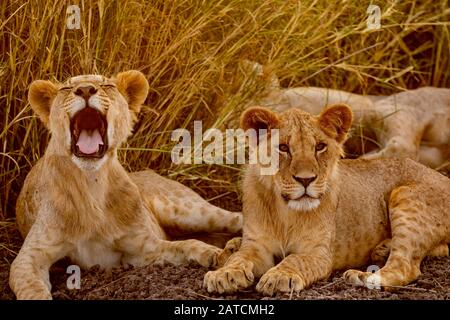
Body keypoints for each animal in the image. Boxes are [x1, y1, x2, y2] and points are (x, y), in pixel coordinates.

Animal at [9, 70, 243, 300]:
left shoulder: (143, 246)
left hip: (186, 210)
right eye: (66, 88)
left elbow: (187, 245)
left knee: (237, 218)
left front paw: (217, 255)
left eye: (107, 86)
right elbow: (32, 288)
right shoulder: (30, 256)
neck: (92, 184)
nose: (85, 89)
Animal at [204, 104, 450, 296]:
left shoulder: (319, 252)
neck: (286, 212)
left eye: (319, 147)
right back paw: (381, 250)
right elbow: (239, 257)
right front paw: (223, 274)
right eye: (283, 148)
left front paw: (279, 276)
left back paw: (362, 276)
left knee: (406, 267)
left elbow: (294, 259)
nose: (306, 180)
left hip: (404, 195)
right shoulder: (256, 245)